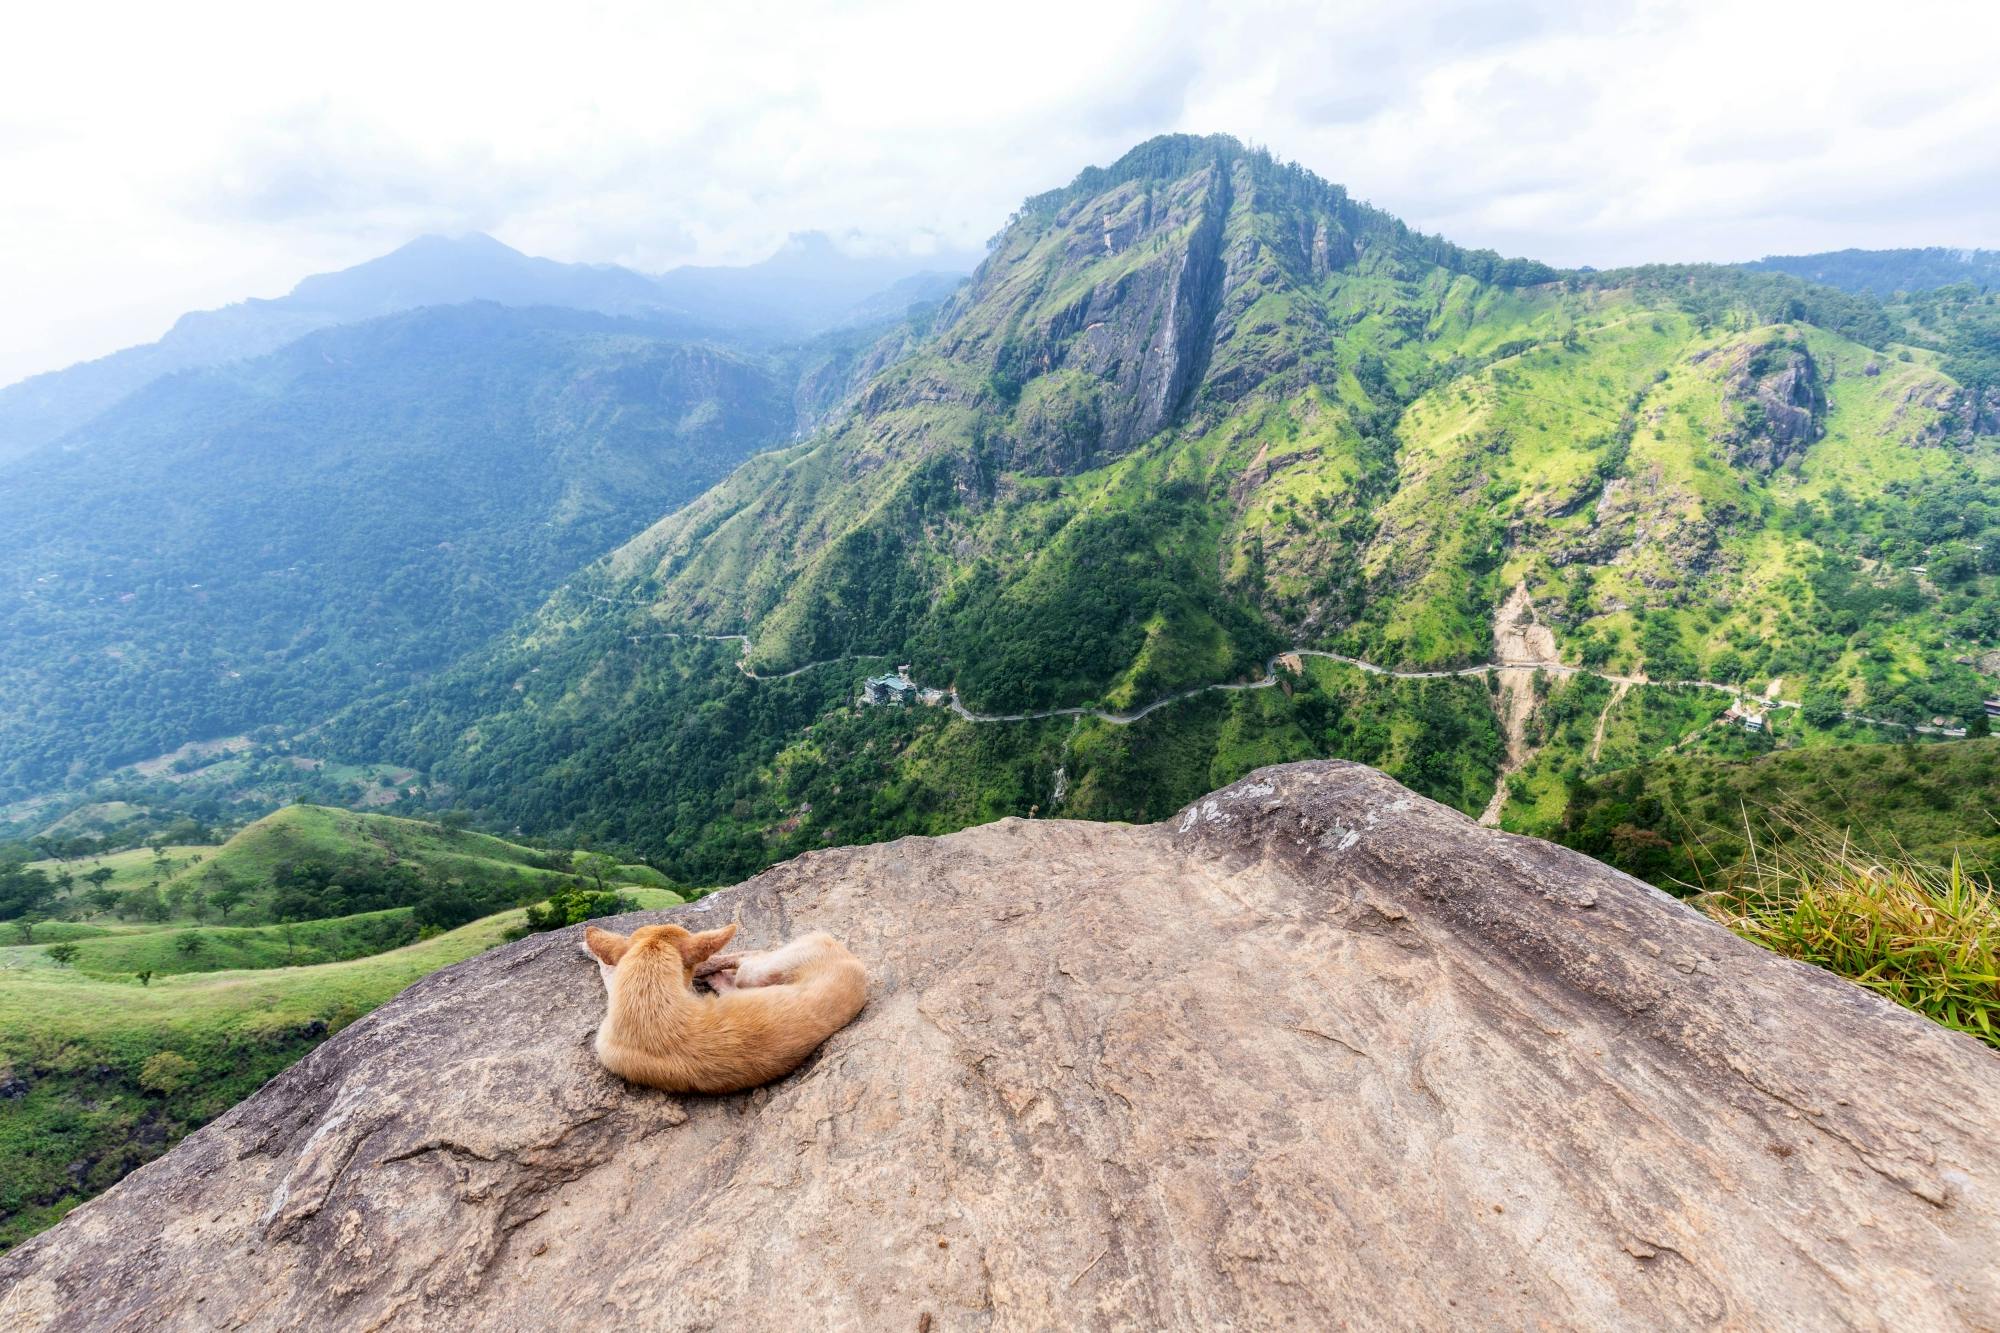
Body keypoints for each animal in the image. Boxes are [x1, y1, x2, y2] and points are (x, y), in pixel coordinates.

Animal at [576, 912, 864, 1088]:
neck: (648, 997)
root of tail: (856, 965)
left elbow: (609, 969)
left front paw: (591, 950)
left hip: (757, 971)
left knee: (749, 956)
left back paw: (716, 972)